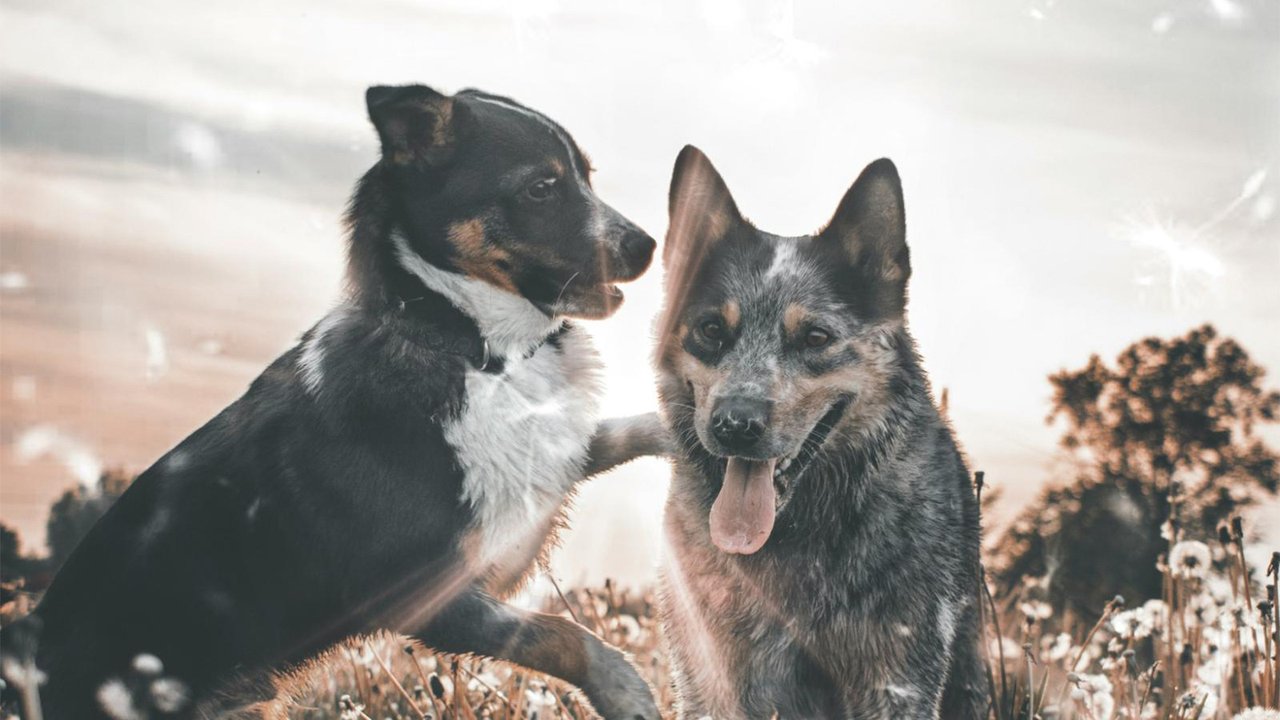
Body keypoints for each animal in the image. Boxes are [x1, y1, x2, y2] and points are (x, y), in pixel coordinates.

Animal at [0, 85, 665, 717]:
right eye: (541, 187)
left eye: (587, 176)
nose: (648, 245)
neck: (470, 344)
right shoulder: (430, 592)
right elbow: (566, 637)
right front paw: (629, 694)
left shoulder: (532, 482)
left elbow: (622, 431)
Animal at [655, 146, 983, 717]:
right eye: (711, 329)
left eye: (815, 337)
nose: (735, 424)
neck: (792, 536)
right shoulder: (707, 676)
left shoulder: (898, 680)